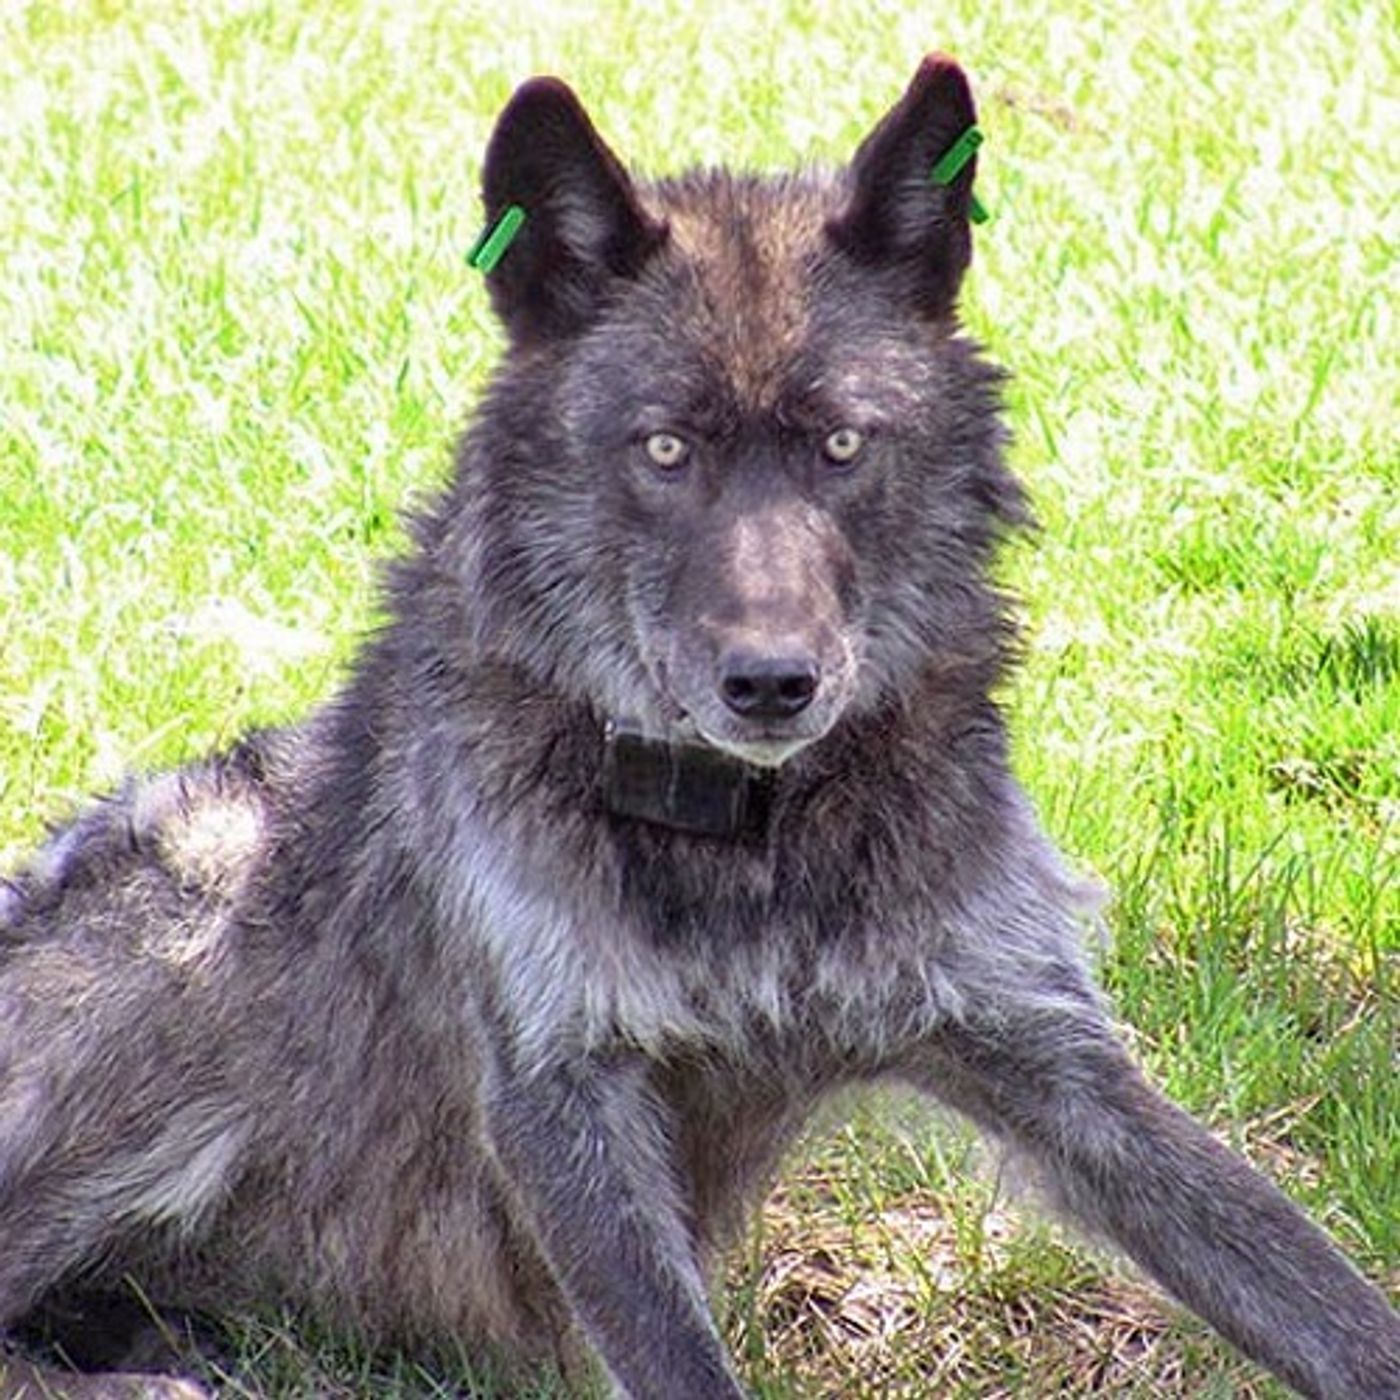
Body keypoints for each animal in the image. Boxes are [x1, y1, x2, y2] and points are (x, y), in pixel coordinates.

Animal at [1, 54, 1397, 1400]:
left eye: (841, 444)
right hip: (199, 905)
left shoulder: (1046, 1052)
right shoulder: (562, 1093)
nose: (770, 685)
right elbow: (673, 1354)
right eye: (664, 448)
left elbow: (1316, 1293)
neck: (752, 843)